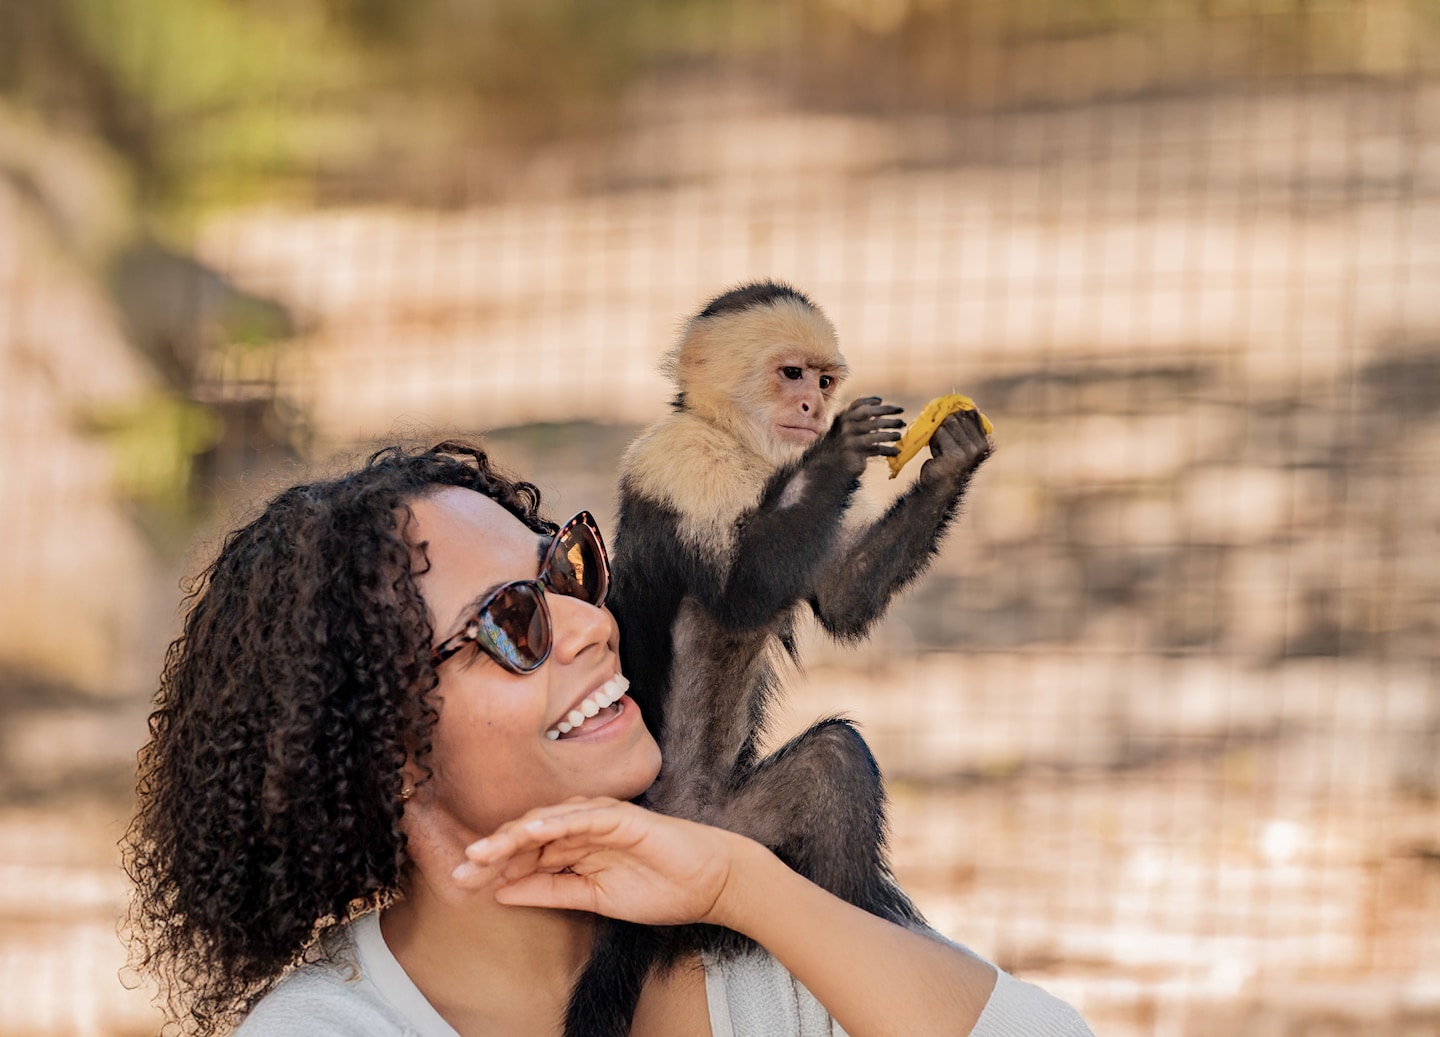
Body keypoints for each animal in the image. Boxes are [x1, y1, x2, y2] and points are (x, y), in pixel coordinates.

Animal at [563, 281, 994, 1037]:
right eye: (791, 375)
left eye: (822, 381)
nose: (813, 411)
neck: (738, 444)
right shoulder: (679, 461)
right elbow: (742, 591)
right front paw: (841, 452)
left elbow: (842, 596)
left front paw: (951, 456)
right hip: (679, 841)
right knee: (837, 757)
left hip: (734, 855)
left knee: (831, 772)